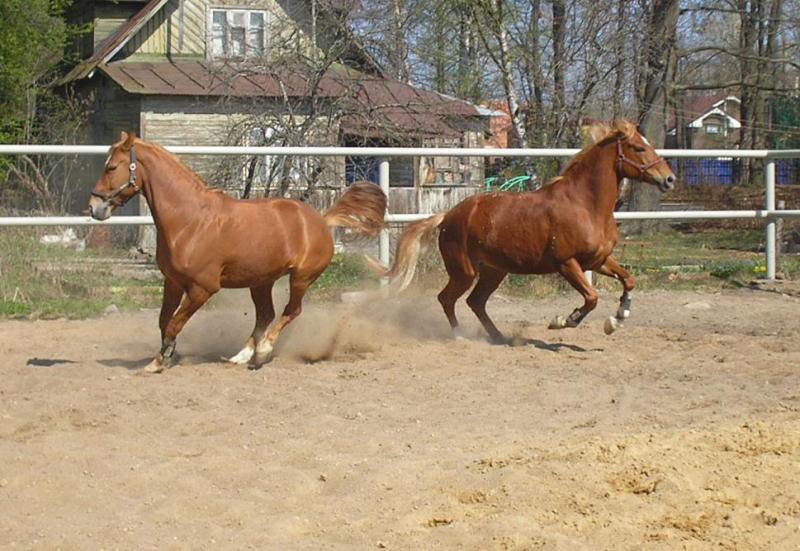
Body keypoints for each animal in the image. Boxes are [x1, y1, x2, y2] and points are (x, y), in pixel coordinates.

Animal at [89, 132, 386, 374]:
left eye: (111, 167)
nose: (94, 207)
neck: (189, 220)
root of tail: (322, 220)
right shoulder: (172, 281)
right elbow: (164, 321)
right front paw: (168, 354)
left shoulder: (202, 288)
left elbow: (174, 323)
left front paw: (159, 362)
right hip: (261, 281)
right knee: (265, 314)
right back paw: (241, 356)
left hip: (301, 277)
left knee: (291, 311)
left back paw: (263, 351)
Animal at [374, 123, 676, 342]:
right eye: (638, 148)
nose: (669, 179)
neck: (586, 206)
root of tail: (448, 216)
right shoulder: (567, 263)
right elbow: (591, 297)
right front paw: (564, 321)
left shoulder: (598, 261)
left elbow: (629, 280)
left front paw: (617, 318)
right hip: (464, 271)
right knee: (447, 298)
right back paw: (460, 336)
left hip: (494, 270)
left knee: (475, 301)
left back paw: (498, 336)